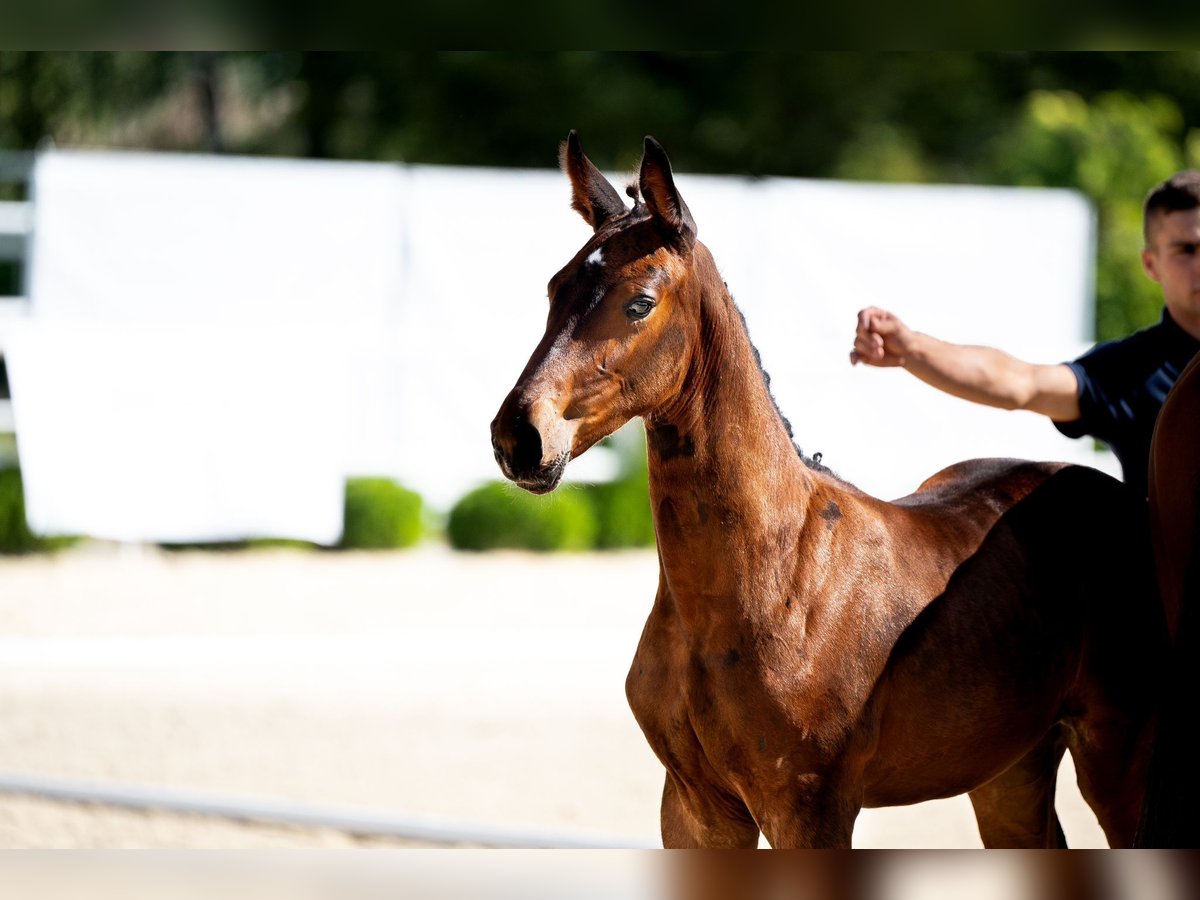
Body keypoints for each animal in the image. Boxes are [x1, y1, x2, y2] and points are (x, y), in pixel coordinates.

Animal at [492, 132, 1166, 844]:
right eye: (555, 289)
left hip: (1118, 756)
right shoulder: (696, 808)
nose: (519, 437)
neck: (771, 579)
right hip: (1009, 771)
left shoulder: (810, 808)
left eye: (639, 302)